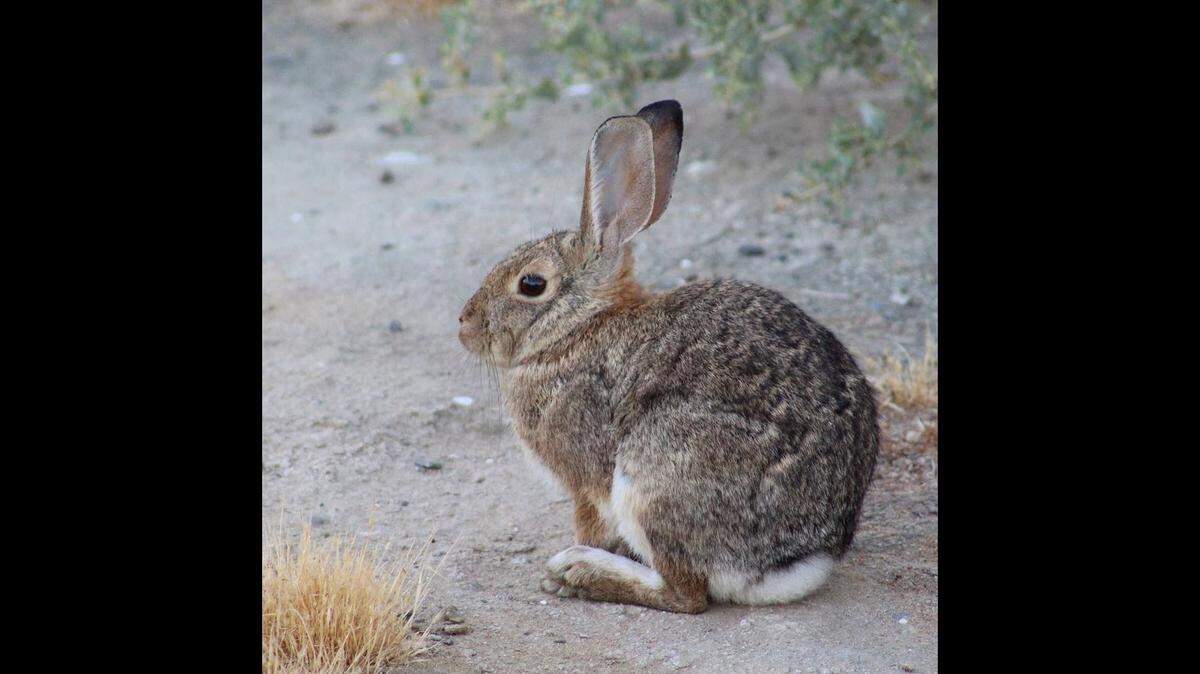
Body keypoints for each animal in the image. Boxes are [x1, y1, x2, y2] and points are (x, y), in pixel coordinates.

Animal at [457, 100, 878, 614]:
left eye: (531, 284)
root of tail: (792, 561)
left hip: (653, 474)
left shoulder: (585, 480)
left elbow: (590, 523)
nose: (465, 324)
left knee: (686, 594)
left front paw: (580, 555)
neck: (577, 329)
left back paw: (579, 573)